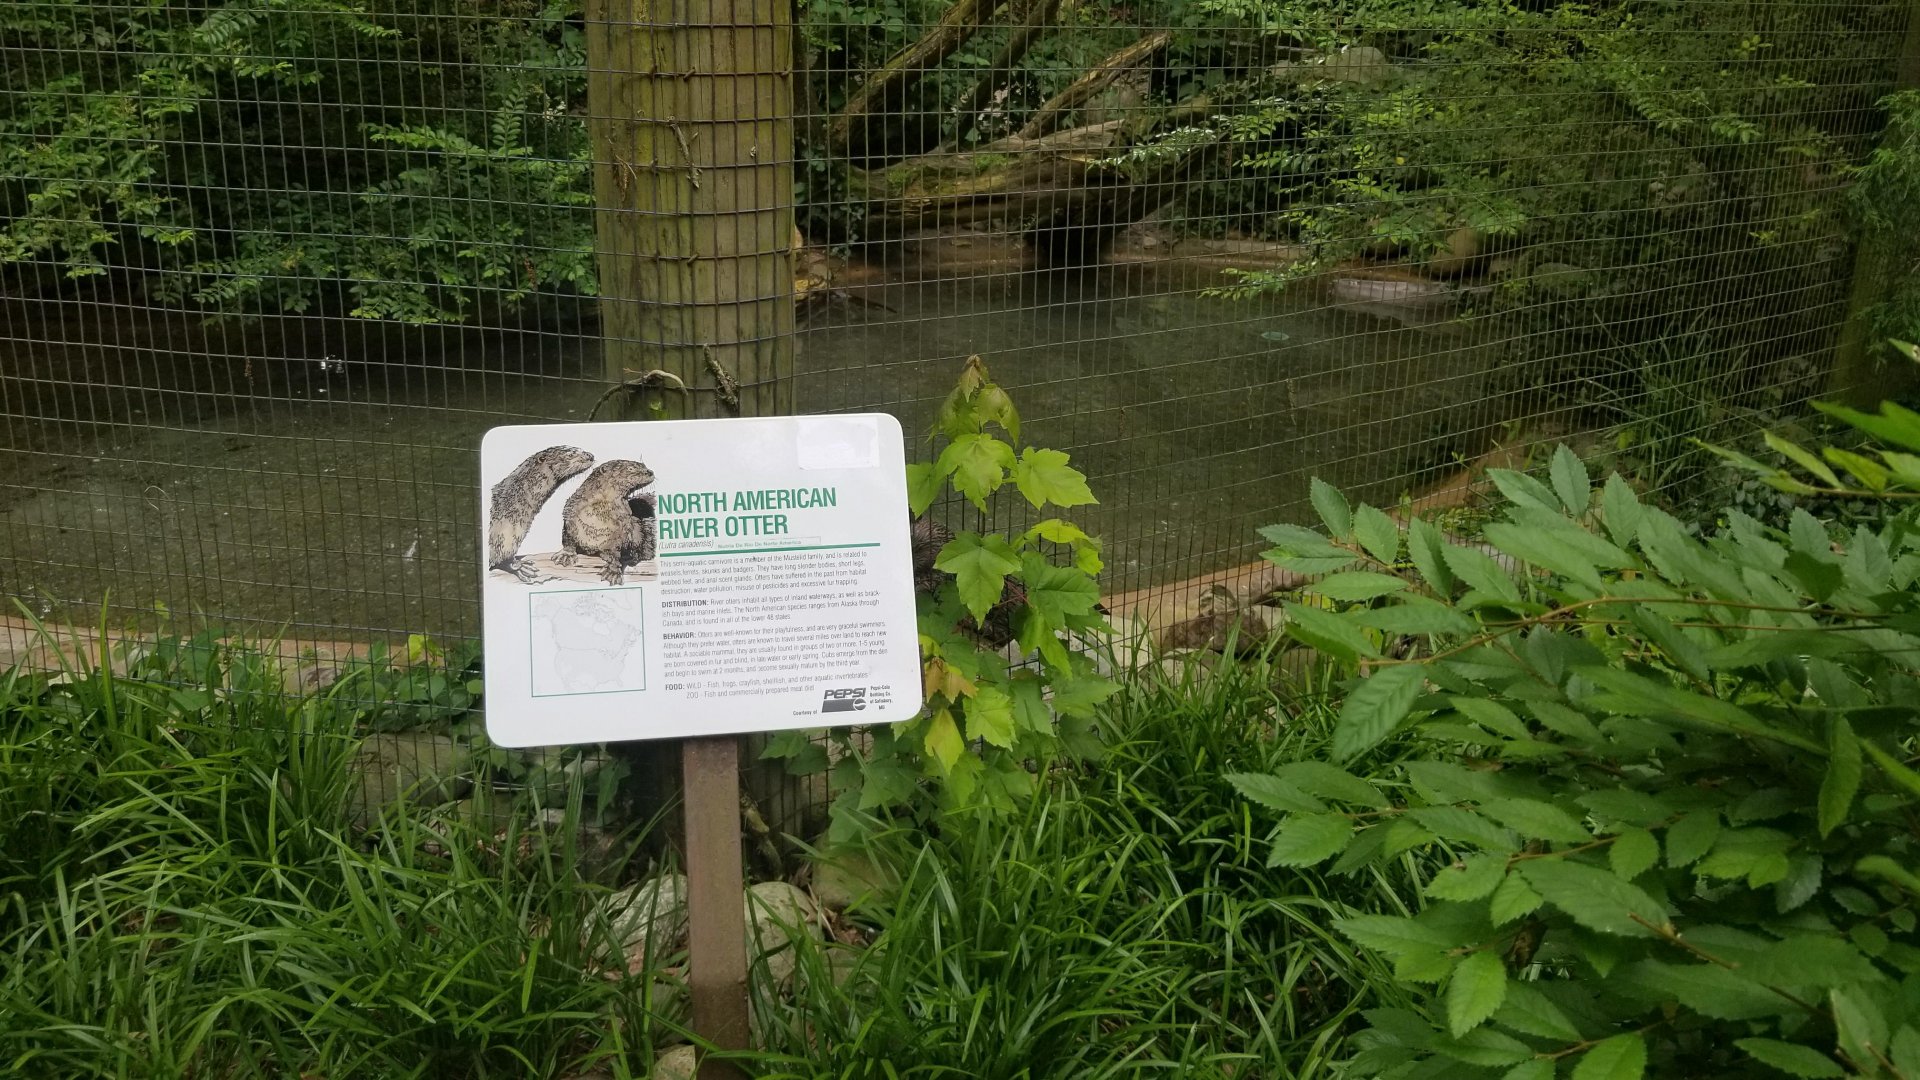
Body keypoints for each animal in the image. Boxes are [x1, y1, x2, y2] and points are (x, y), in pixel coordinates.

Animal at [488, 445, 596, 582]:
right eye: (571, 453)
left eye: (579, 448)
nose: (590, 455)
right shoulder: (503, 533)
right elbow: (502, 556)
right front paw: (519, 567)